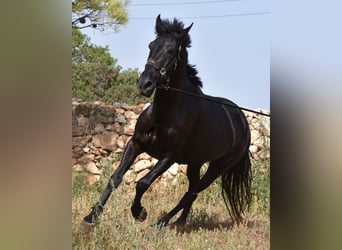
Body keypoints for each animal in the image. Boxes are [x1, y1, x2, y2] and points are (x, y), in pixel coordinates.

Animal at [83, 15, 251, 229]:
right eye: (151, 45)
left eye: (171, 51)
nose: (144, 84)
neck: (165, 114)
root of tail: (242, 122)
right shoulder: (135, 144)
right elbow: (115, 178)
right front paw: (91, 217)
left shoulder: (169, 156)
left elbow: (143, 183)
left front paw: (139, 213)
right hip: (195, 162)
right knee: (192, 191)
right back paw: (180, 222)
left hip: (218, 167)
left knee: (191, 193)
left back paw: (161, 223)